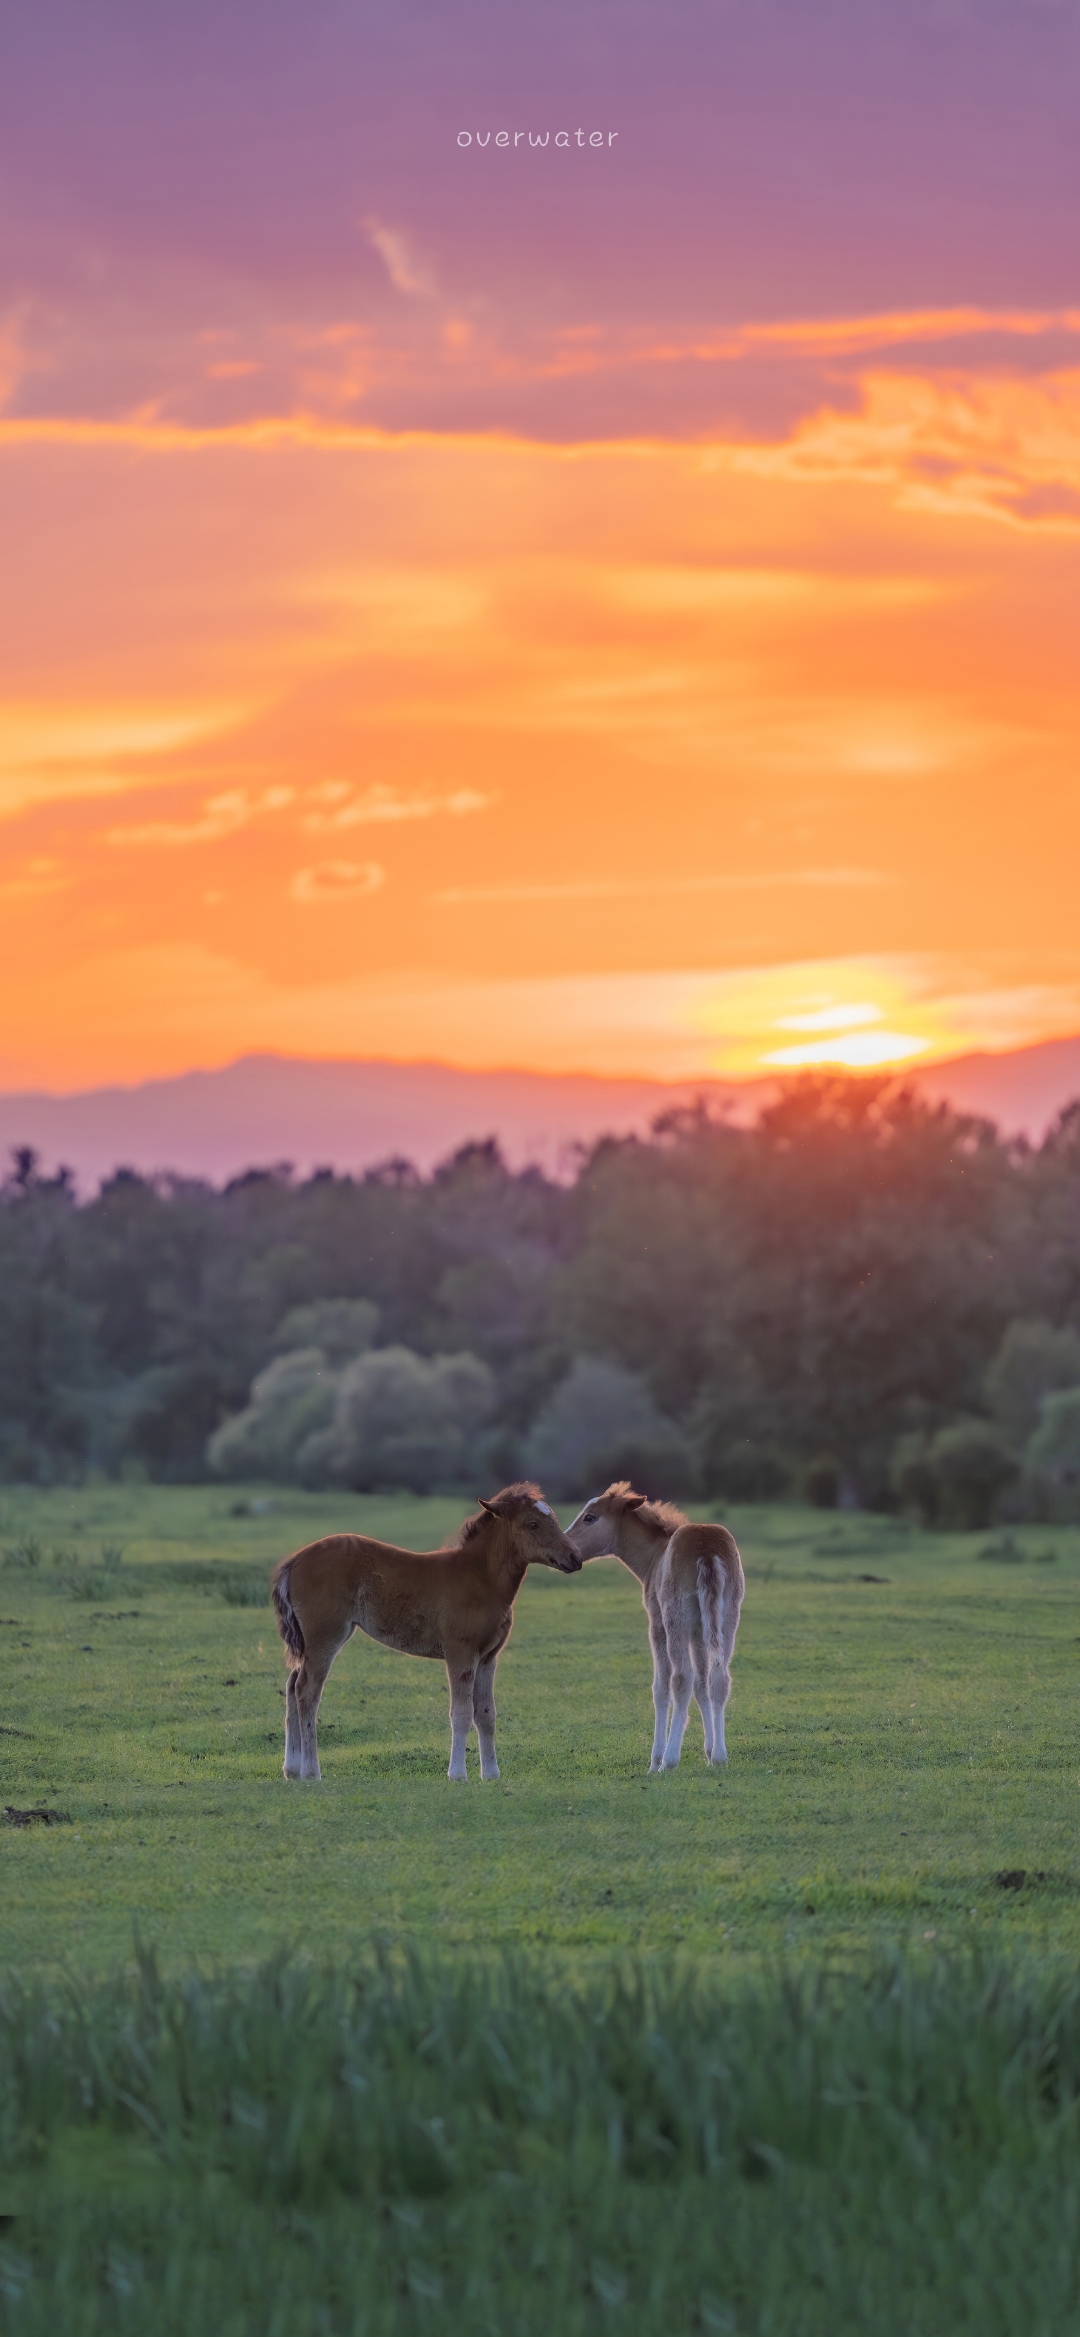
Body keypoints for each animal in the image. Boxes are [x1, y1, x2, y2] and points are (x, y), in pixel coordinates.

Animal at [271, 1483, 581, 1782]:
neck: (480, 1579)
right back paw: (311, 1771)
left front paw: (491, 1775)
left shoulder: (488, 1657)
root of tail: (295, 1560)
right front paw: (457, 1774)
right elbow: (461, 1713)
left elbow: (486, 1715)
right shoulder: (460, 1652)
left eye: (553, 1519)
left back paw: (292, 1769)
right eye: (532, 1524)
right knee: (307, 1690)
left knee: (292, 1684)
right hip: (326, 1636)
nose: (575, 1556)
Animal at [565, 1482, 744, 1770]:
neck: (654, 1556)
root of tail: (707, 1551)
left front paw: (655, 1759)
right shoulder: (698, 1631)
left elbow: (661, 1687)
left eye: (590, 1517)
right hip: (727, 1617)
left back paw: (668, 1761)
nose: (568, 1551)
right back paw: (720, 1756)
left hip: (675, 1619)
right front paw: (709, 1752)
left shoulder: (657, 1625)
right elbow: (702, 1685)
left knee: (681, 1678)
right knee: (719, 1678)